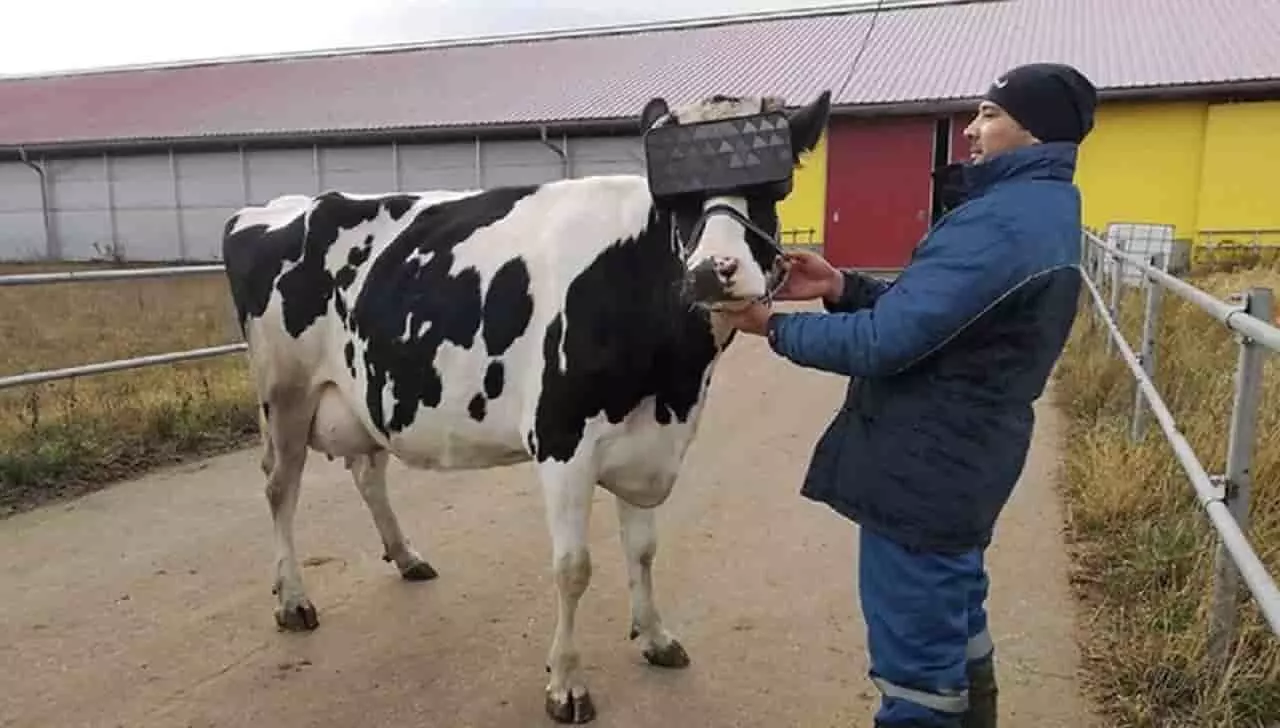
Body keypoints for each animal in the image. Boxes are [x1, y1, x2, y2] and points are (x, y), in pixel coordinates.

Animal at [220, 88, 832, 723]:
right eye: (674, 202)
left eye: (772, 191)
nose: (714, 271)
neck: (672, 380)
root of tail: (276, 207)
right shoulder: (563, 441)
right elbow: (573, 568)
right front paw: (566, 683)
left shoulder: (650, 443)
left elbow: (642, 550)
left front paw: (656, 637)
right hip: (284, 393)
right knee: (280, 487)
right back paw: (293, 600)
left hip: (365, 391)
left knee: (367, 472)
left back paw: (406, 556)